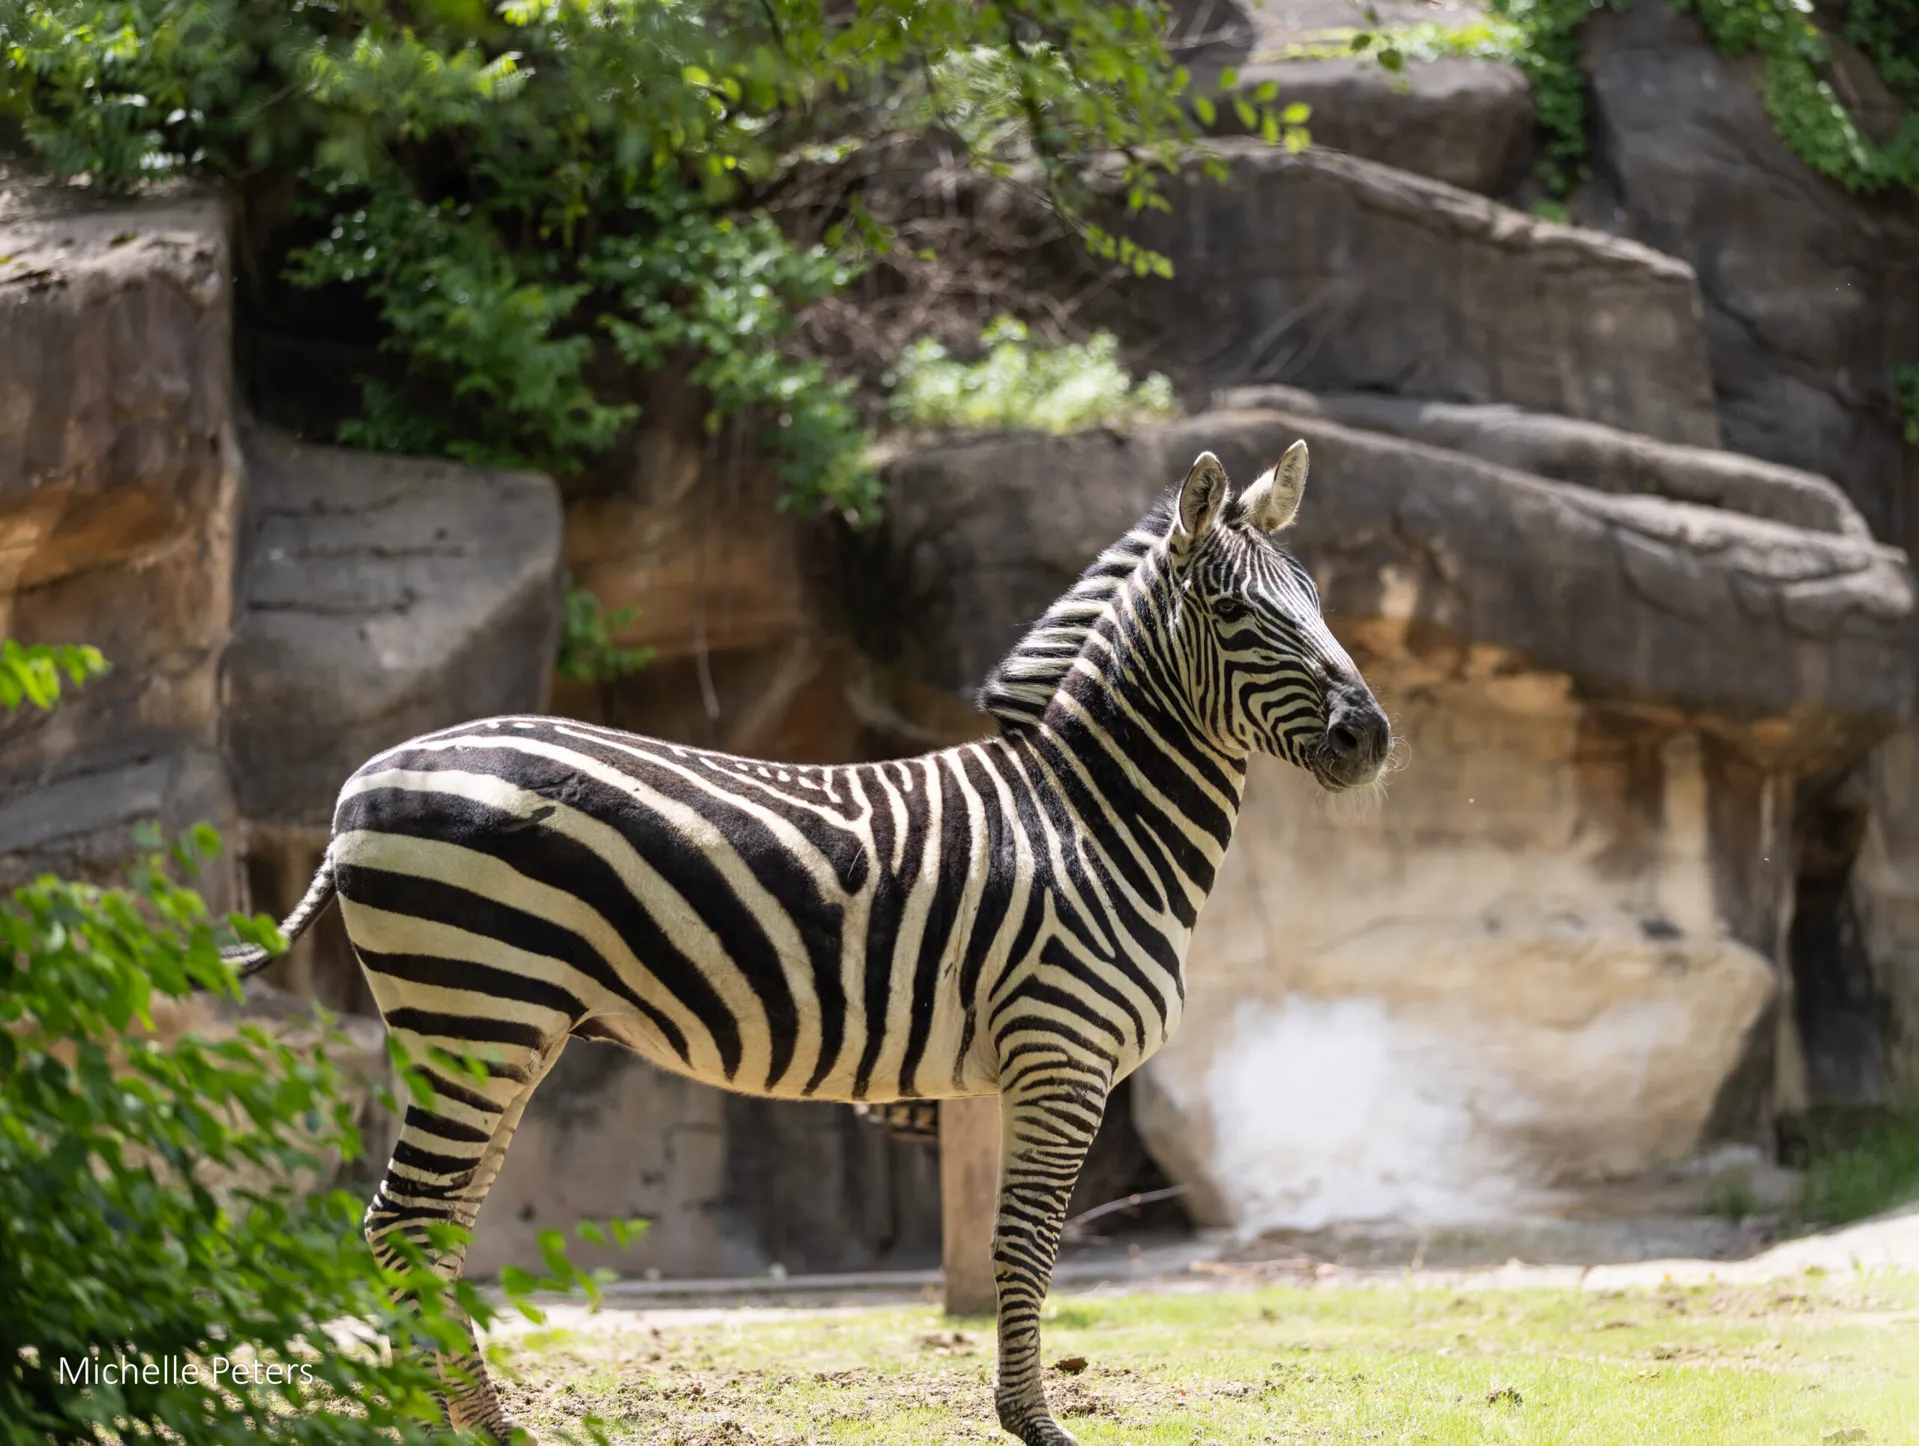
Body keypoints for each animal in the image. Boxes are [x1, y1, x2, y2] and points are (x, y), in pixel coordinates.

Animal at [224, 440, 1391, 1445]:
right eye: (1232, 611)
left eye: (1316, 603)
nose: (1369, 738)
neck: (1088, 819)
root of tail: (362, 780)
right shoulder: (1058, 1056)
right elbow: (1023, 1245)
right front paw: (1035, 1423)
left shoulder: (1023, 1067)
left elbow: (1012, 1244)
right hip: (476, 1008)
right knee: (406, 1220)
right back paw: (450, 1425)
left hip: (492, 1032)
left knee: (434, 1224)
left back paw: (462, 1424)